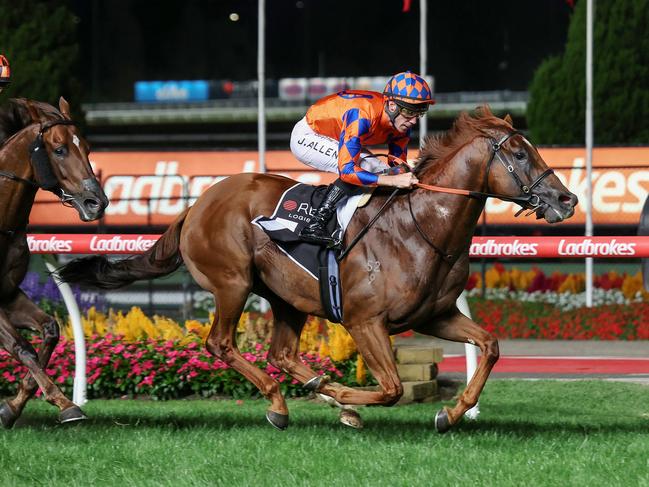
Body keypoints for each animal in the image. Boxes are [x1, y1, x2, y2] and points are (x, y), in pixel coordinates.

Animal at [0, 98, 107, 428]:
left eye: (87, 147)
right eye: (59, 149)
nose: (96, 202)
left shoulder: (8, 294)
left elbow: (50, 329)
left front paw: (11, 407)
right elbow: (21, 347)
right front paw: (66, 402)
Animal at [58, 106, 576, 430]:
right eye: (520, 153)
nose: (566, 199)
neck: (421, 227)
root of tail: (198, 202)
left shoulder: (436, 315)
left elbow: (489, 346)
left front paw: (450, 414)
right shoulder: (366, 321)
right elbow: (390, 388)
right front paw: (344, 397)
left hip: (287, 295)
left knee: (282, 353)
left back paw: (313, 389)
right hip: (232, 282)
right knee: (221, 343)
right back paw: (285, 402)